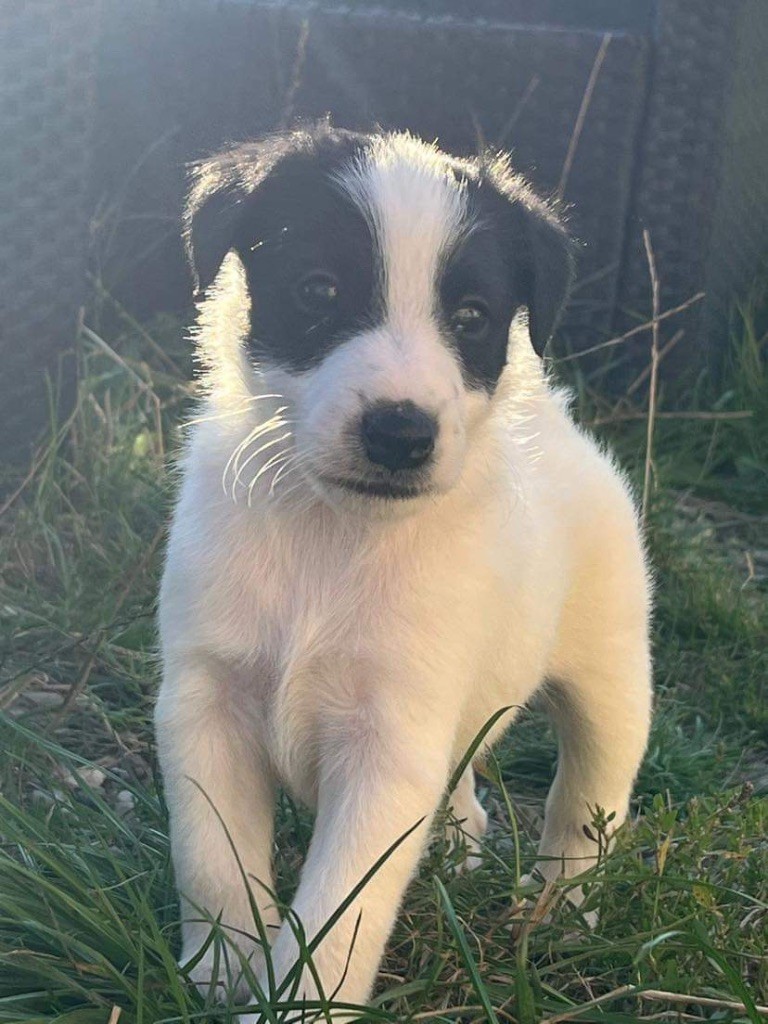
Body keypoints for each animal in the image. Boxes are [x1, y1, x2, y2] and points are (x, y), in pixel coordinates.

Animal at [154, 125, 651, 1015]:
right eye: (319, 289)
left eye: (472, 318)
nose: (401, 433)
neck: (333, 536)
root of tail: (555, 418)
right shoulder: (205, 705)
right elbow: (211, 859)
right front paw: (224, 968)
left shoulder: (386, 750)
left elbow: (338, 916)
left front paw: (301, 1006)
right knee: (466, 799)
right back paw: (458, 852)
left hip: (613, 685)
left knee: (587, 808)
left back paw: (560, 916)